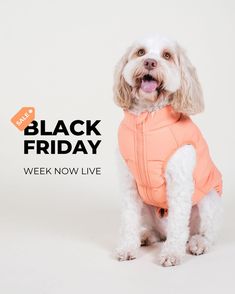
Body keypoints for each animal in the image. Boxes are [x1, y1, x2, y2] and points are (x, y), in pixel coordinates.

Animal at [113, 34, 223, 266]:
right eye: (140, 52)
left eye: (167, 55)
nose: (149, 62)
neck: (146, 120)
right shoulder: (129, 183)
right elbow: (128, 220)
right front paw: (127, 247)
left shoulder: (180, 182)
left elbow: (178, 226)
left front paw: (172, 253)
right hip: (146, 206)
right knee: (158, 233)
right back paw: (146, 235)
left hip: (209, 198)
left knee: (204, 233)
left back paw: (198, 243)